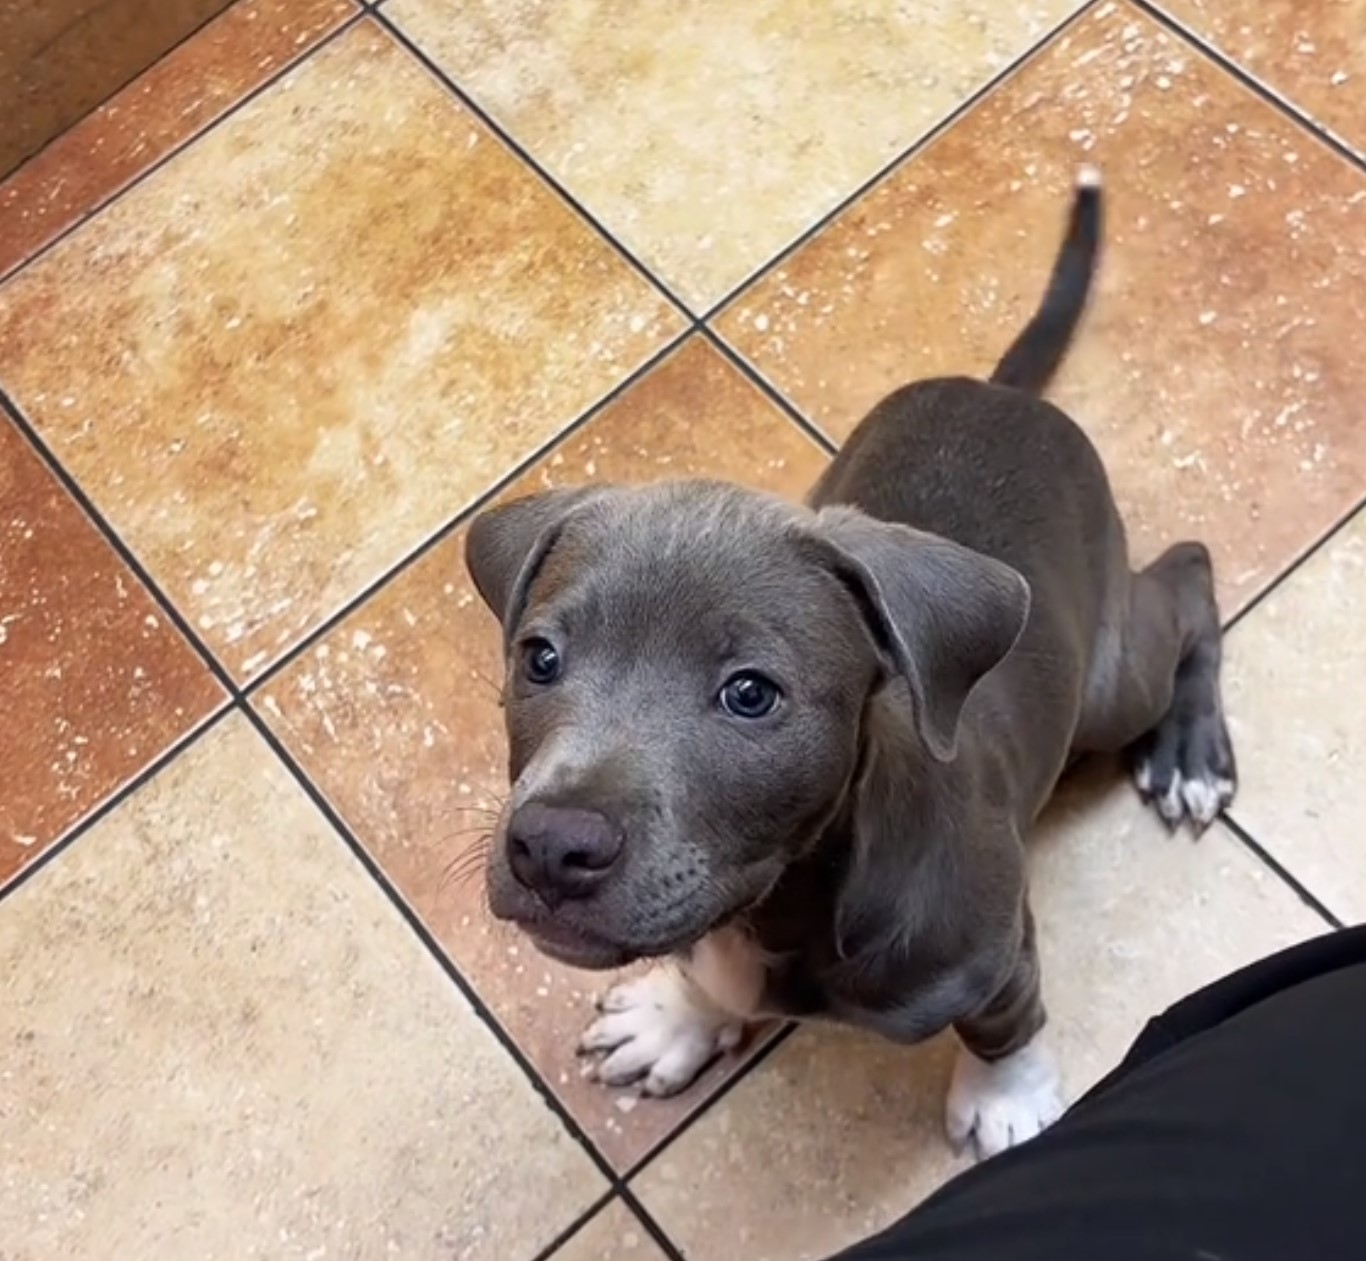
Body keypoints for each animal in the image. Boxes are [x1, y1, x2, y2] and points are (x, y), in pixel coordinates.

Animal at [461, 170, 1240, 1164]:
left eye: (751, 694)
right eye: (541, 657)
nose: (552, 847)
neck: (780, 902)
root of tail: (1002, 393)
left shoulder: (989, 949)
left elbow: (1006, 1018)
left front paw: (1007, 1097)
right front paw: (678, 1018)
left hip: (1109, 679)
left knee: (1186, 575)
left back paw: (1188, 752)